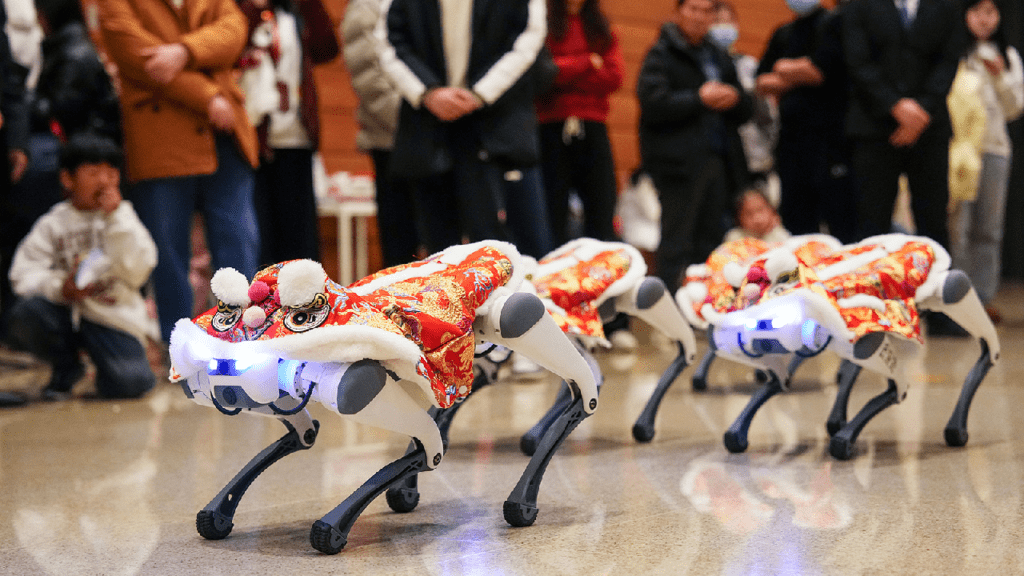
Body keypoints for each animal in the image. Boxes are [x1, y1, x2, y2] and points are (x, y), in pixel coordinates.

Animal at [168, 238, 598, 553]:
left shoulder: (357, 374)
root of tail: (493, 248)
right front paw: (218, 512)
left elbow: (361, 391)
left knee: (520, 319)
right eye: (226, 315)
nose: (226, 364)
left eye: (301, 317)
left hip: (493, 317)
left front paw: (332, 527)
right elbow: (304, 432)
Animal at [675, 231, 995, 457]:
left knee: (960, 295)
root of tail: (913, 240)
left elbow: (893, 385)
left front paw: (845, 440)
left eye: (781, 283)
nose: (743, 312)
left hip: (937, 290)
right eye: (742, 291)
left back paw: (958, 424)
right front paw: (738, 432)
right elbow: (777, 381)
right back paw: (836, 419)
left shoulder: (864, 327)